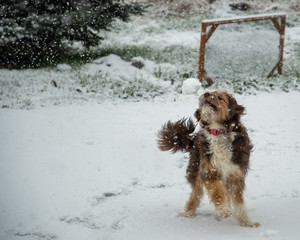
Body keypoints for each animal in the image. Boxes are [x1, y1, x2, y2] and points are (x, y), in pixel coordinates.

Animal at [158, 89, 258, 227]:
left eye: (220, 97)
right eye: (211, 92)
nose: (205, 93)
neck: (218, 131)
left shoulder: (236, 174)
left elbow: (238, 202)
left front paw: (246, 222)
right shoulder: (208, 170)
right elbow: (217, 191)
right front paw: (224, 210)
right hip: (196, 169)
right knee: (195, 195)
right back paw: (188, 213)